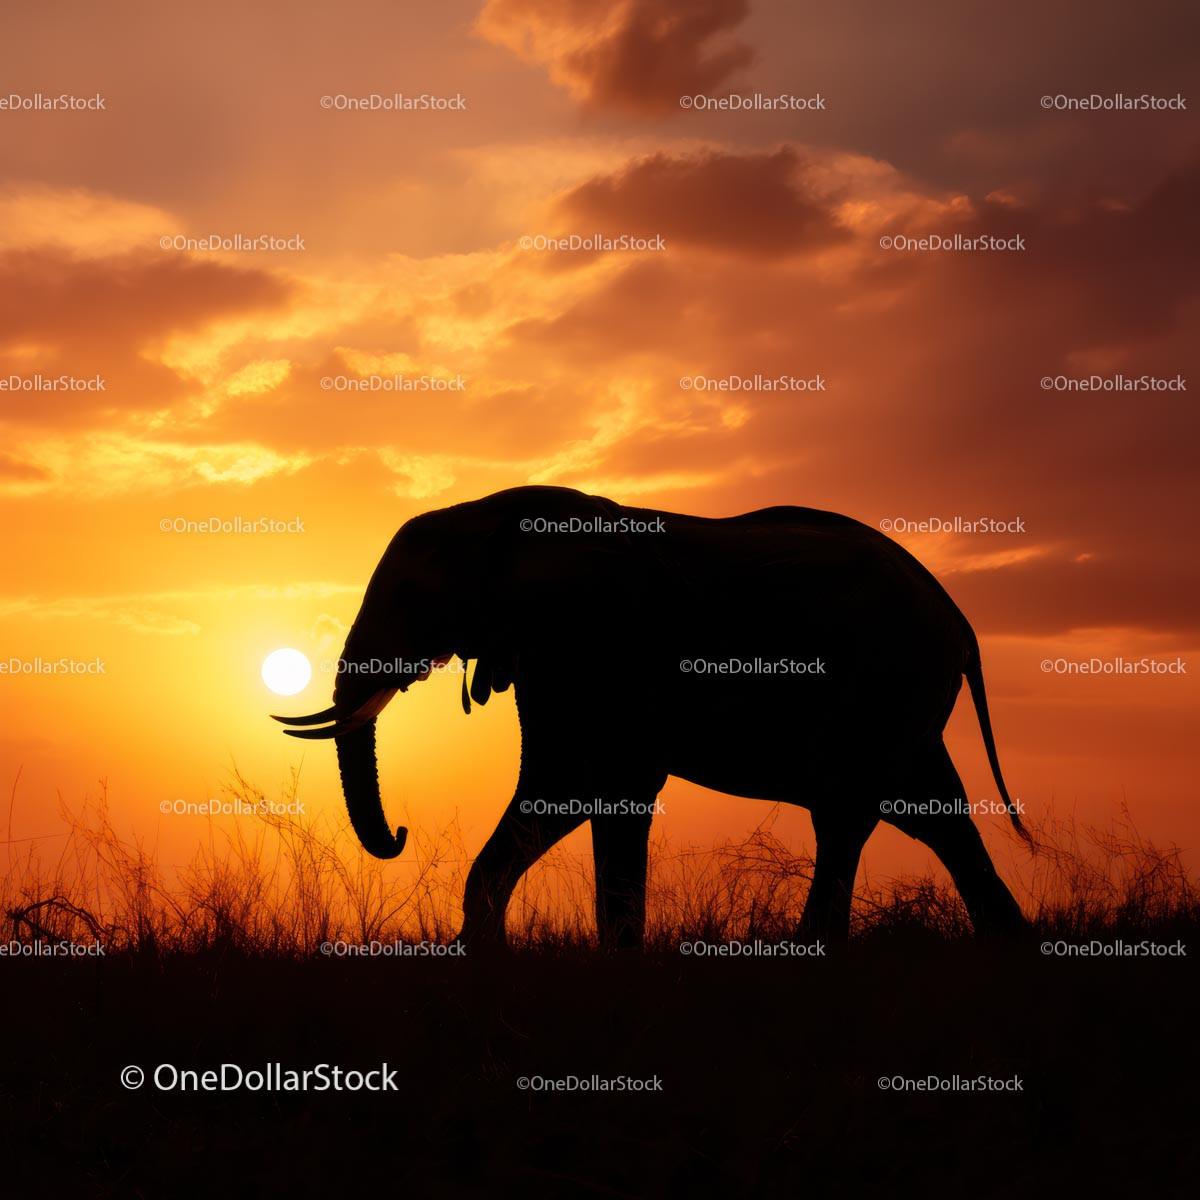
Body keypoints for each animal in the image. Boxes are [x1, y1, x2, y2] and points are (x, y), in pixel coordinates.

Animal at [274, 485, 1029, 948]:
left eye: (410, 593)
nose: (402, 832)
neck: (498, 514)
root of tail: (955, 613)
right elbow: (562, 790)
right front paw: (481, 955)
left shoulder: (602, 641)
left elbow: (596, 786)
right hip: (905, 701)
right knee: (933, 813)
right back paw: (1011, 946)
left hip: (883, 680)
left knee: (848, 813)